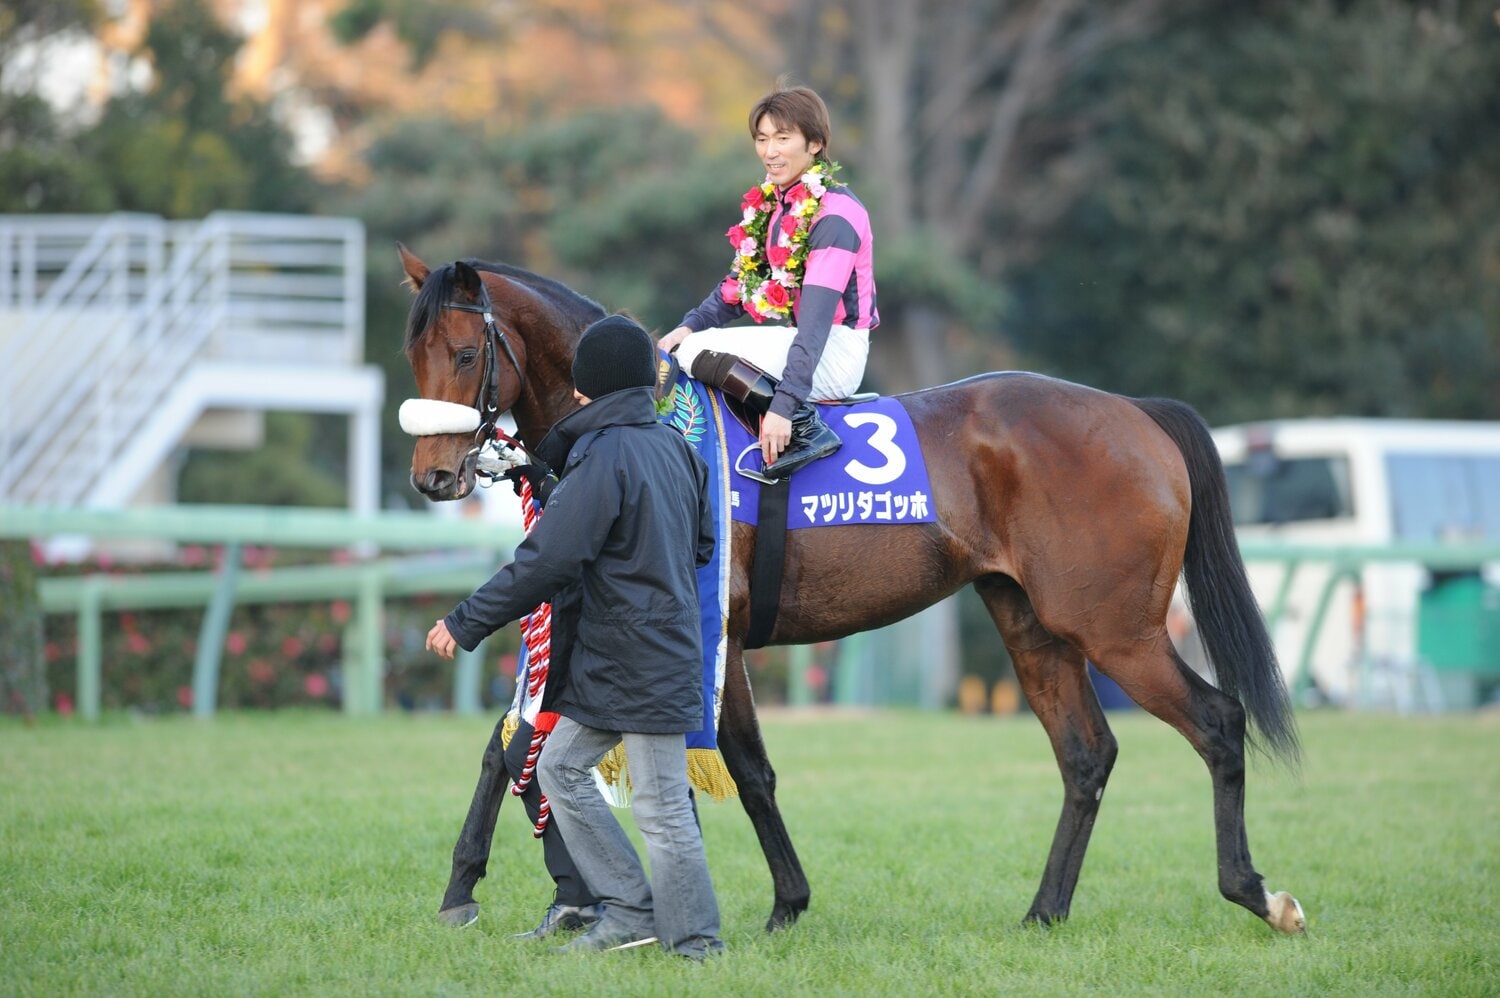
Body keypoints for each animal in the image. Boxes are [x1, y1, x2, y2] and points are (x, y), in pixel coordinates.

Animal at [397, 245, 1307, 937]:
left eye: (467, 355)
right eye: (414, 355)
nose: (435, 477)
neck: (639, 418)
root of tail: (1135, 412)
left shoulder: (716, 630)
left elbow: (748, 770)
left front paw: (782, 905)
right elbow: (511, 745)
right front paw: (469, 891)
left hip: (1115, 627)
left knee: (1218, 722)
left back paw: (1257, 893)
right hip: (1032, 623)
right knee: (1087, 755)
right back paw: (1044, 911)